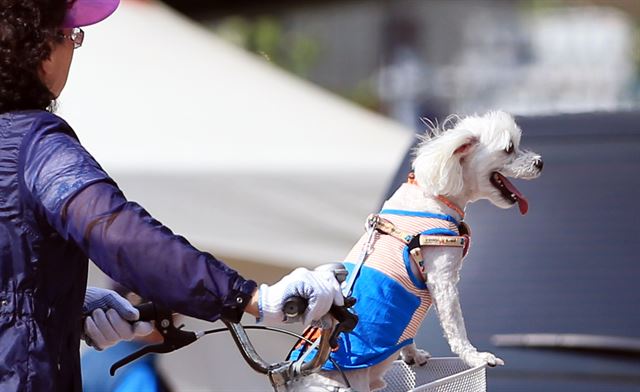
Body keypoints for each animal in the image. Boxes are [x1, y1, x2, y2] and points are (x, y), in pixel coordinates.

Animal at [302, 110, 544, 392]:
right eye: (508, 148)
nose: (540, 163)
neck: (436, 195)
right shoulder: (442, 280)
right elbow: (456, 327)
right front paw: (476, 357)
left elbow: (409, 334)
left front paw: (412, 355)